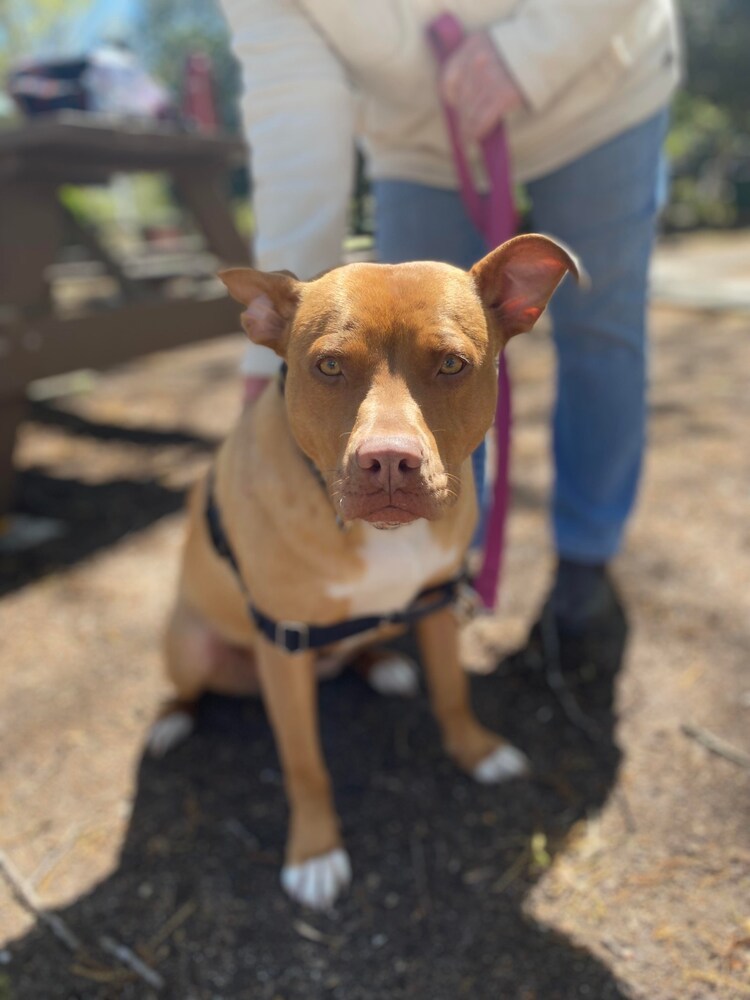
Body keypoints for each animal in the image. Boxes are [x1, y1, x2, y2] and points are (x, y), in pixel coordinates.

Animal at [148, 234, 580, 916]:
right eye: (328, 366)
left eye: (452, 363)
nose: (389, 461)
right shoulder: (284, 643)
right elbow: (305, 765)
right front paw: (315, 853)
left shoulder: (437, 601)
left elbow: (453, 691)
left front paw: (478, 752)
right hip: (191, 646)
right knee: (188, 685)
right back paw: (170, 719)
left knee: (365, 646)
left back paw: (384, 665)